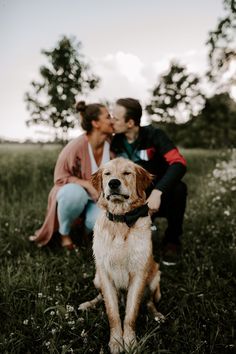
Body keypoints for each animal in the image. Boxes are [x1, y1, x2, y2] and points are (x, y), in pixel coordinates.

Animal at [79, 158, 164, 354]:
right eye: (107, 174)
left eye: (127, 173)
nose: (113, 183)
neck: (121, 221)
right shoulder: (104, 273)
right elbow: (113, 313)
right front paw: (117, 342)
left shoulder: (138, 274)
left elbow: (131, 314)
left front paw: (130, 342)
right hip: (96, 277)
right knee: (100, 297)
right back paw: (88, 304)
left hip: (155, 277)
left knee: (149, 302)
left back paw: (157, 314)